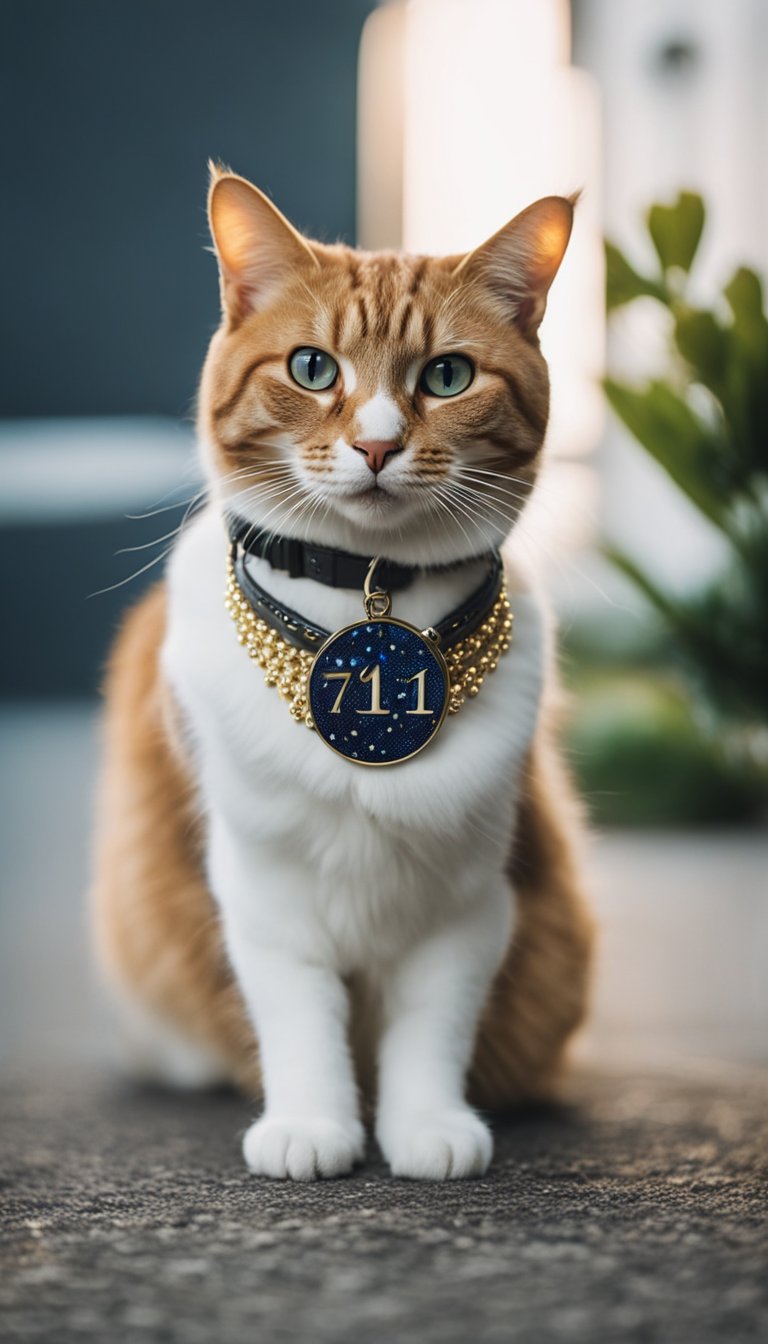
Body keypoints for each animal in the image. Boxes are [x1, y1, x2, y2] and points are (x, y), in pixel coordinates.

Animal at [91, 165, 594, 1177]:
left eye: (447, 376)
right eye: (313, 368)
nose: (375, 445)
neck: (363, 606)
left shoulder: (470, 903)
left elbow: (431, 1026)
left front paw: (427, 1127)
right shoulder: (261, 890)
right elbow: (298, 1018)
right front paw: (311, 1127)